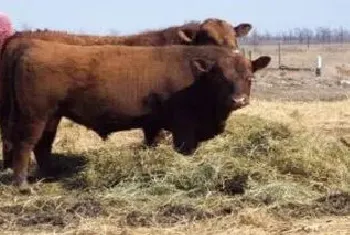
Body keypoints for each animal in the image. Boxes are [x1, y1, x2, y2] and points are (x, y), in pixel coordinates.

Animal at [1, 37, 270, 190]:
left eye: (249, 77)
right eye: (221, 78)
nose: (238, 100)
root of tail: (32, 45)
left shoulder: (153, 125)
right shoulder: (183, 126)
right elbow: (184, 149)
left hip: (52, 116)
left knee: (43, 145)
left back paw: (51, 176)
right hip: (34, 116)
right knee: (24, 144)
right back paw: (22, 185)